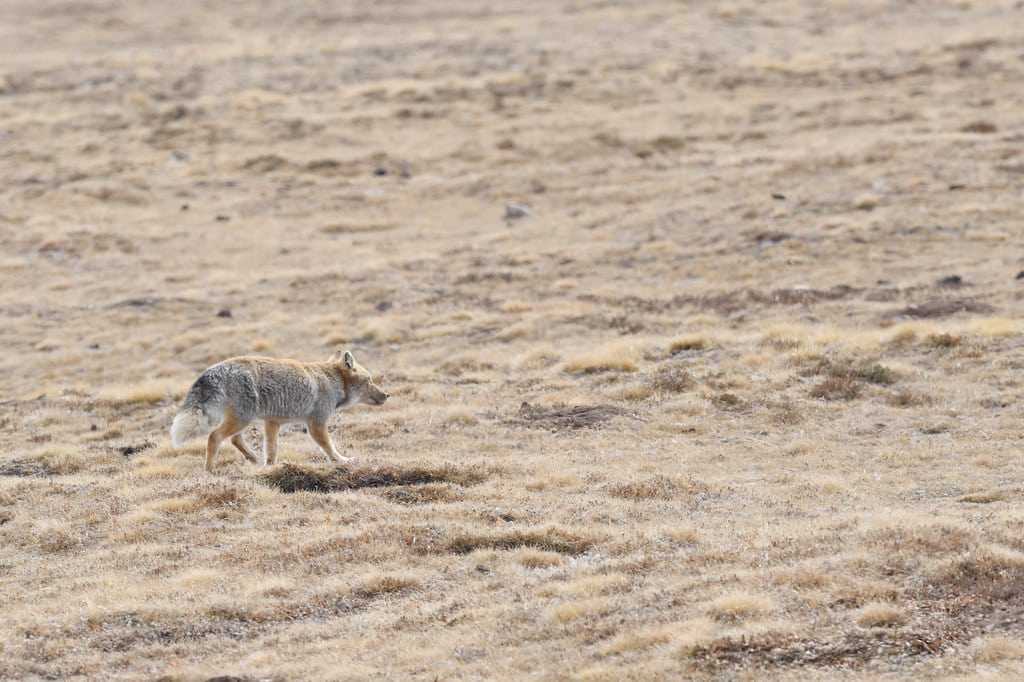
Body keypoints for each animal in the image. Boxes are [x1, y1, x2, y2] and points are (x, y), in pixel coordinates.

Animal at [170, 350, 388, 472]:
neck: (331, 379)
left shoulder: (272, 422)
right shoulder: (316, 424)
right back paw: (209, 469)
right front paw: (342, 461)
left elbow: (272, 450)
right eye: (370, 381)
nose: (387, 395)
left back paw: (252, 458)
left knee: (234, 439)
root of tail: (219, 367)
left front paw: (271, 468)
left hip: (242, 418)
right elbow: (329, 447)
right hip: (243, 418)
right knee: (215, 437)